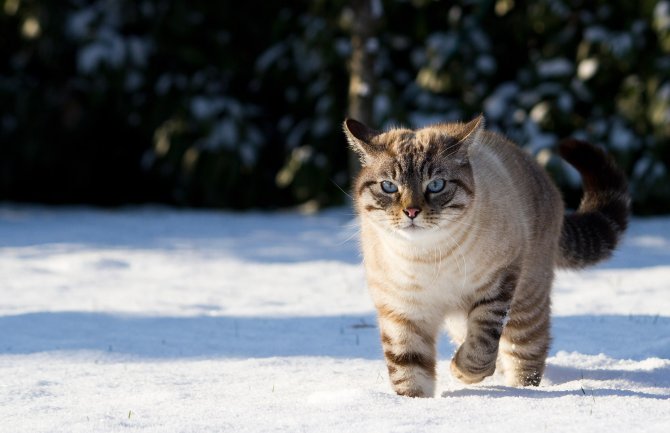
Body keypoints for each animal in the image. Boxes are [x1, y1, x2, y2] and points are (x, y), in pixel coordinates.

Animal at [344, 114, 632, 394]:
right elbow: (409, 371)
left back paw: (522, 393)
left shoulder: (496, 285)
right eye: (389, 186)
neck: (426, 258)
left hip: (525, 306)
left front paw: (461, 371)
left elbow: (481, 347)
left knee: (527, 354)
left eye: (436, 185)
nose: (412, 211)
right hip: (461, 320)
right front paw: (414, 404)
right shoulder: (402, 312)